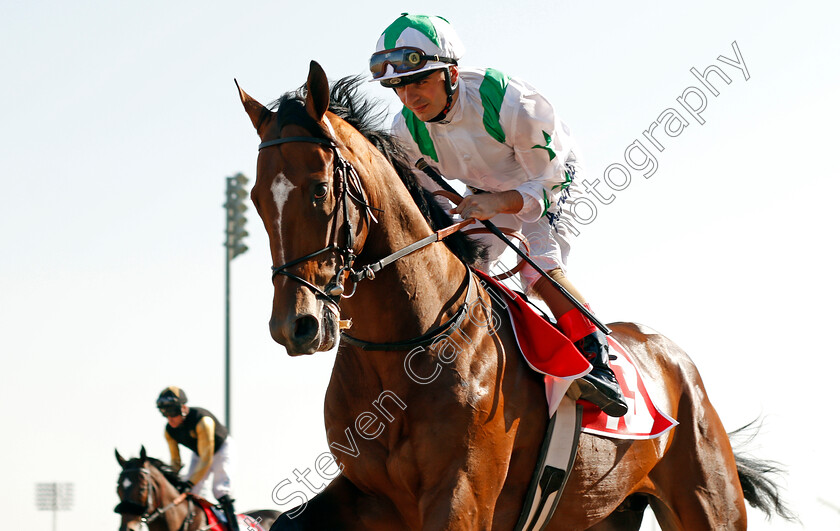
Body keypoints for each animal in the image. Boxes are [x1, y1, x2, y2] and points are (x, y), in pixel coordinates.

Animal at [236, 62, 788, 531]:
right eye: (257, 199)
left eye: (319, 189)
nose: (296, 326)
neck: (406, 352)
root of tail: (674, 359)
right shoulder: (365, 494)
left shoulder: (461, 495)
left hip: (708, 502)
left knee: (540, 252)